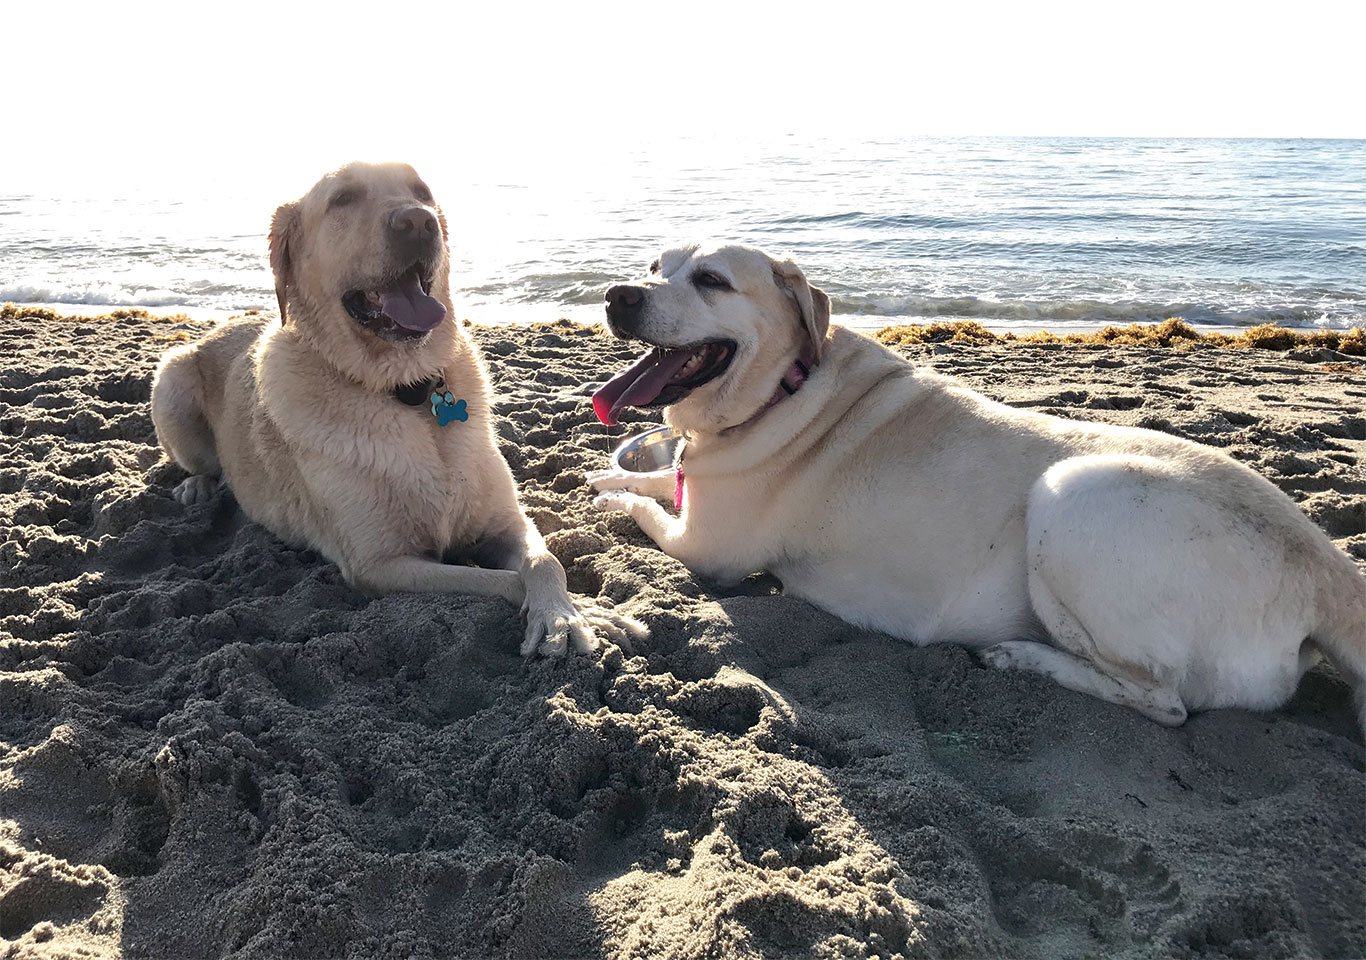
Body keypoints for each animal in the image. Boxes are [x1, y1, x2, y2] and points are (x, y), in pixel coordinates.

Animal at [149, 161, 639, 658]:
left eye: (422, 192)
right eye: (343, 198)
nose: (419, 222)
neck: (409, 391)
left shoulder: (506, 522)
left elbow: (544, 562)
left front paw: (568, 612)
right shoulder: (380, 564)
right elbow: (505, 581)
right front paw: (589, 611)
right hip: (171, 379)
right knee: (198, 461)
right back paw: (197, 486)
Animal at [587, 244, 1366, 731]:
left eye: (712, 280)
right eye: (655, 267)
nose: (618, 294)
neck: (785, 385)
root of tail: (1326, 569)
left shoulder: (706, 549)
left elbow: (649, 505)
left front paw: (609, 491)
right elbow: (659, 474)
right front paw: (609, 471)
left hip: (1071, 496)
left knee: (1163, 701)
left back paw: (1022, 657)